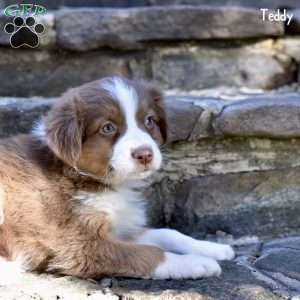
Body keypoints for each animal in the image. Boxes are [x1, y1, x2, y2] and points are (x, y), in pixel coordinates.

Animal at [0, 76, 234, 284]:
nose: (145, 154)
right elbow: (147, 253)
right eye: (107, 127)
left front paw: (213, 248)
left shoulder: (118, 228)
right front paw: (198, 263)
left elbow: (167, 233)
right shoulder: (80, 245)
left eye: (149, 120)